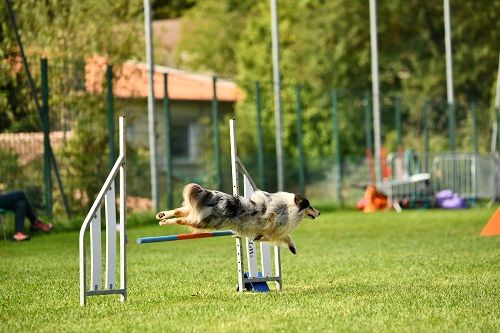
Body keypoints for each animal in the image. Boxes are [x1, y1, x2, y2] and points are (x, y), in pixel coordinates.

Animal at [156, 183, 320, 253]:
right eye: (309, 206)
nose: (319, 213)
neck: (288, 207)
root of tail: (213, 196)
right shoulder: (275, 227)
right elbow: (279, 235)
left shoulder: (277, 231)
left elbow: (286, 237)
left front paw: (292, 248)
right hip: (203, 222)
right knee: (180, 219)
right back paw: (165, 221)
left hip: (195, 211)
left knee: (178, 211)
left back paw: (161, 215)